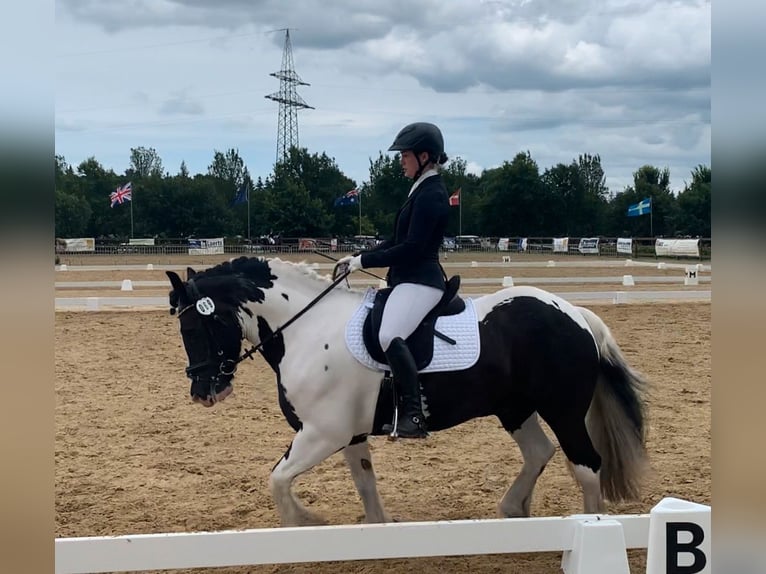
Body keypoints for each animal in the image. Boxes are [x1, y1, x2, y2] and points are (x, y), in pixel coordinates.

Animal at [166, 258, 648, 528]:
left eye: (194, 327)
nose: (202, 392)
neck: (306, 329)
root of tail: (576, 313)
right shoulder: (349, 435)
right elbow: (365, 485)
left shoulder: (321, 434)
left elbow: (278, 480)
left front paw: (306, 522)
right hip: (513, 408)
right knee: (538, 453)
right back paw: (514, 509)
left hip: (562, 410)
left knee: (586, 466)